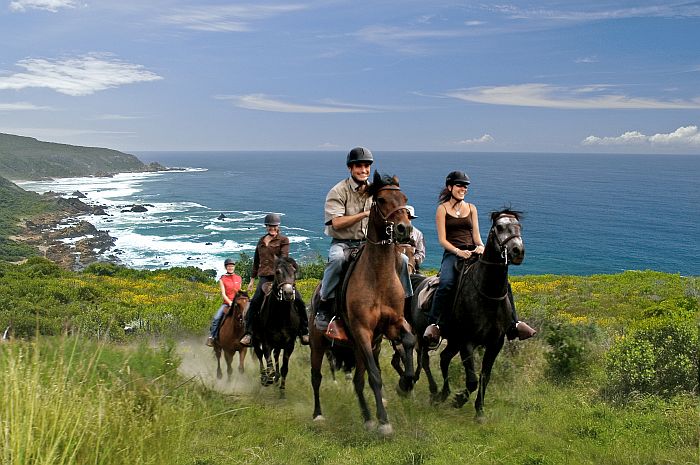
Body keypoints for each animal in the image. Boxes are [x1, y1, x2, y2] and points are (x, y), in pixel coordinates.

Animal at [253, 256, 302, 396]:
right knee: (260, 355)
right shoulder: (266, 342)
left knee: (275, 356)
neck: (281, 315)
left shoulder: (289, 344)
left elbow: (284, 368)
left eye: (294, 271)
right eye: (277, 272)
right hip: (255, 339)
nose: (288, 293)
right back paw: (264, 378)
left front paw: (282, 392)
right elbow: (269, 365)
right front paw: (269, 379)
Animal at [310, 170, 416, 436]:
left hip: (359, 348)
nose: (404, 229)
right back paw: (318, 415)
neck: (378, 277)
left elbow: (409, 341)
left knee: (358, 381)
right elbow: (375, 376)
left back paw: (367, 418)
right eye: (380, 200)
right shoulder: (362, 331)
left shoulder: (393, 324)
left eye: (404, 198)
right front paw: (384, 422)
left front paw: (405, 383)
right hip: (319, 344)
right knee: (316, 377)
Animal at [410, 208, 524, 418]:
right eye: (499, 227)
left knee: (443, 359)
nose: (517, 251)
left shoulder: (495, 343)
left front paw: (479, 411)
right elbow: (471, 380)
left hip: (452, 340)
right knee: (424, 360)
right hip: (424, 335)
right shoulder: (467, 341)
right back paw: (431, 391)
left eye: (518, 226)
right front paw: (459, 399)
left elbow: (485, 376)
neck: (487, 295)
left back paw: (442, 394)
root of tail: (420, 282)